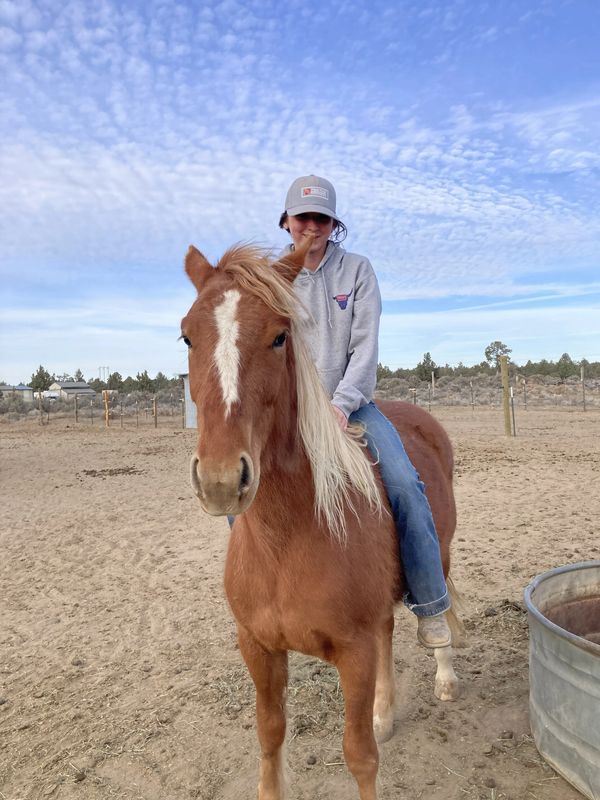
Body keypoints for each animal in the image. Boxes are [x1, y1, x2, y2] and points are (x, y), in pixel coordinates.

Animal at [181, 238, 461, 800]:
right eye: (186, 336)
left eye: (279, 336)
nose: (221, 478)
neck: (287, 540)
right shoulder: (259, 649)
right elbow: (270, 736)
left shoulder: (354, 654)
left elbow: (359, 755)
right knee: (388, 632)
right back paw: (385, 712)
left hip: (438, 554)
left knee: (435, 605)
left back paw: (444, 676)